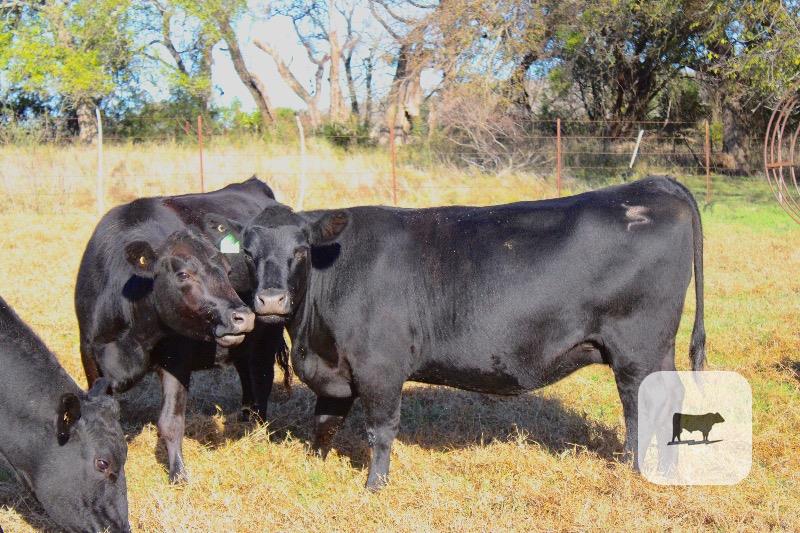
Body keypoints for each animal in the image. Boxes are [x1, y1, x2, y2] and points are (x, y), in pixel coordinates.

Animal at [76, 177, 288, 483]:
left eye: (227, 270)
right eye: (183, 274)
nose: (243, 317)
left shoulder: (176, 359)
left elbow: (171, 421)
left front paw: (178, 475)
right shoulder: (91, 357)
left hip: (267, 336)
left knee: (262, 377)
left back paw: (258, 428)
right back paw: (245, 418)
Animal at [237, 176, 706, 490]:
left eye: (301, 250)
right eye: (247, 253)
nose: (271, 300)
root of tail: (653, 184)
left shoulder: (379, 368)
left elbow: (381, 431)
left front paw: (374, 487)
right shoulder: (334, 370)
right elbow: (324, 423)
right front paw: (313, 465)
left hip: (638, 348)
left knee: (644, 404)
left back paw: (634, 470)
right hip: (652, 350)